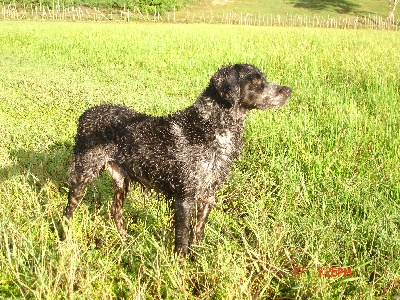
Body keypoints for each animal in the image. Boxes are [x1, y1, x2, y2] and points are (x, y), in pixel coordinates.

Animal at [60, 63, 290, 255]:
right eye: (255, 81)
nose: (288, 90)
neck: (214, 130)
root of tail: (86, 113)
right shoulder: (184, 197)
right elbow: (182, 238)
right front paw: (182, 264)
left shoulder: (209, 195)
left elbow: (198, 232)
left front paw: (196, 259)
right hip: (83, 174)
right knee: (68, 211)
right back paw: (64, 241)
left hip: (121, 180)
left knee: (115, 211)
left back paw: (125, 239)